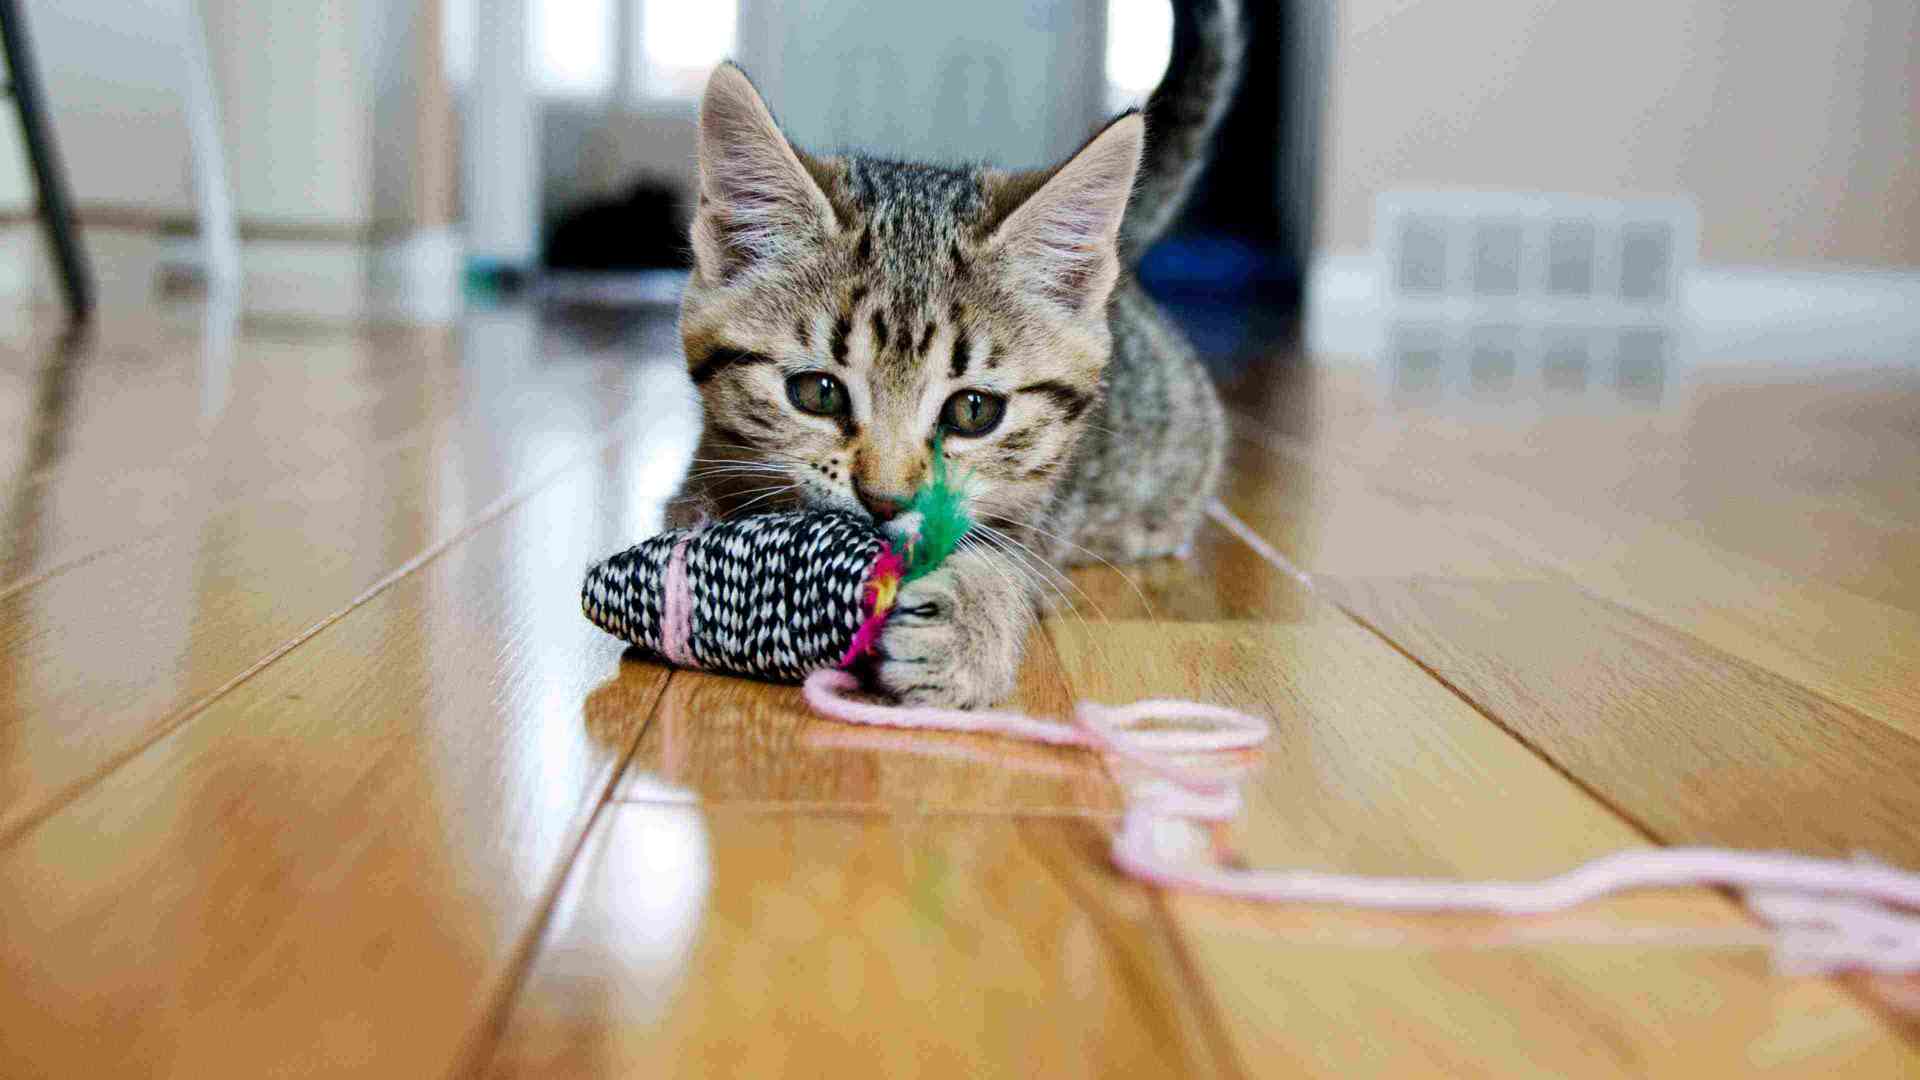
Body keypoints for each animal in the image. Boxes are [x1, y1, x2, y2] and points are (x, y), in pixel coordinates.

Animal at [675, 2, 1244, 707]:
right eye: (817, 392)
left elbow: (1008, 561)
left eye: (973, 411)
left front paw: (969, 621)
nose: (885, 502)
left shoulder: (1037, 517)